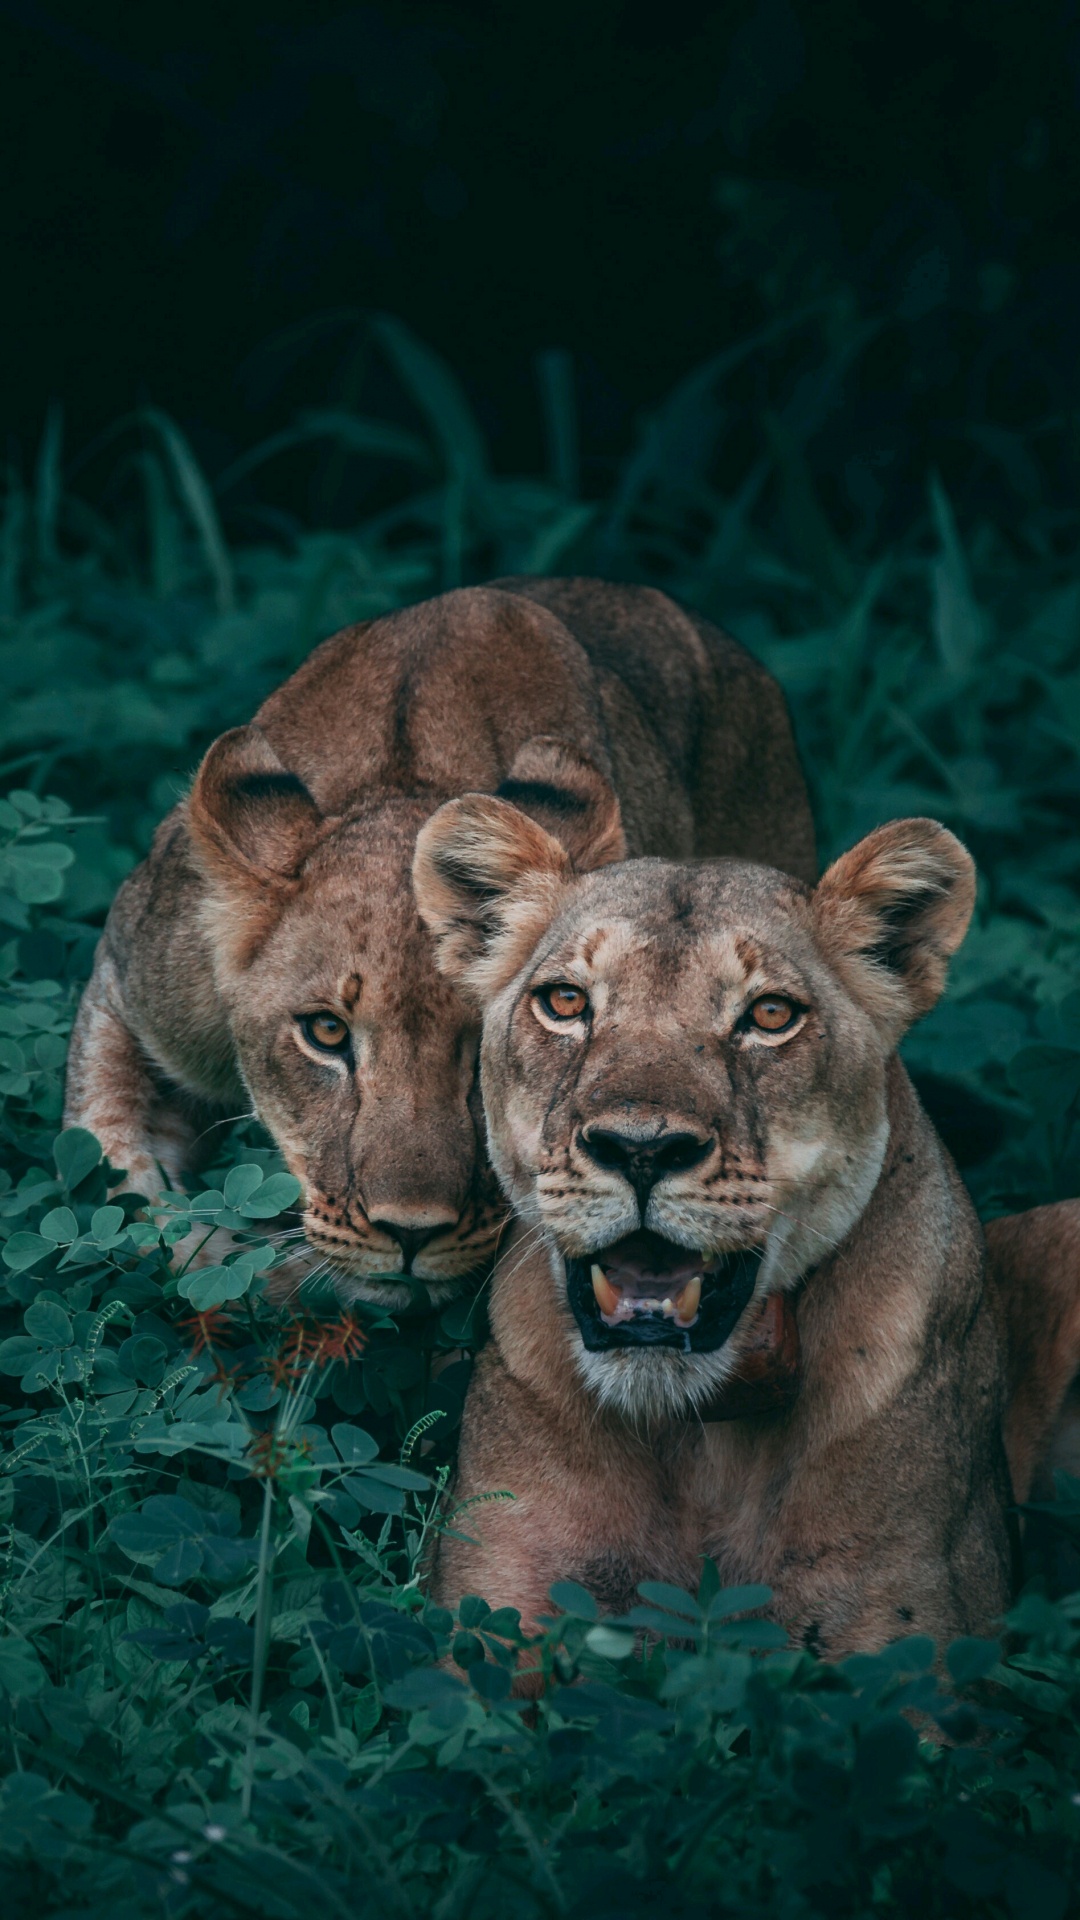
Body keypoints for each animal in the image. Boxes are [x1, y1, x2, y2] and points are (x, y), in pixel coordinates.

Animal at [413, 797, 1041, 1655]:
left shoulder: (907, 1625)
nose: (641, 1148)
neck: (697, 1439)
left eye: (770, 1015)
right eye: (566, 1002)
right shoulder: (498, 1595)